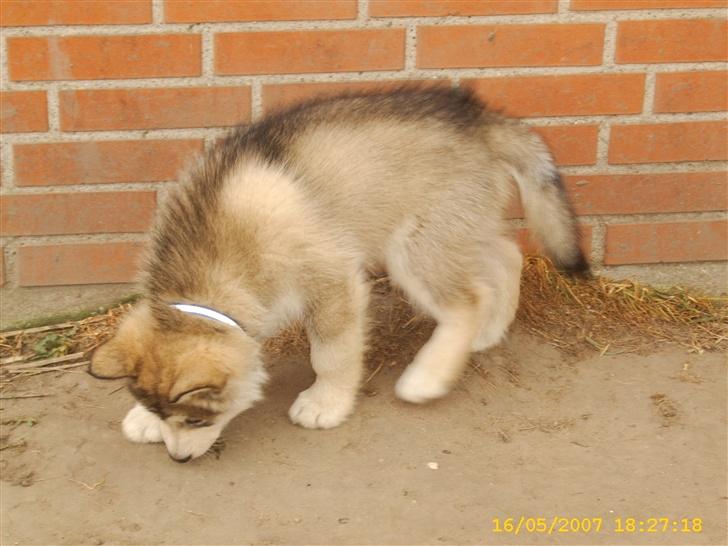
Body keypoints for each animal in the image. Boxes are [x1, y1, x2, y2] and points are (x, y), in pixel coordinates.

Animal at [88, 88, 588, 460]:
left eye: (197, 419)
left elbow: (331, 353)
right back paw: (488, 331)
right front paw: (143, 420)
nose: (179, 459)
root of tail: (479, 119)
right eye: (167, 416)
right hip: (458, 232)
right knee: (507, 255)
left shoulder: (332, 281)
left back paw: (430, 375)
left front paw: (324, 403)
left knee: (467, 300)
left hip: (414, 247)